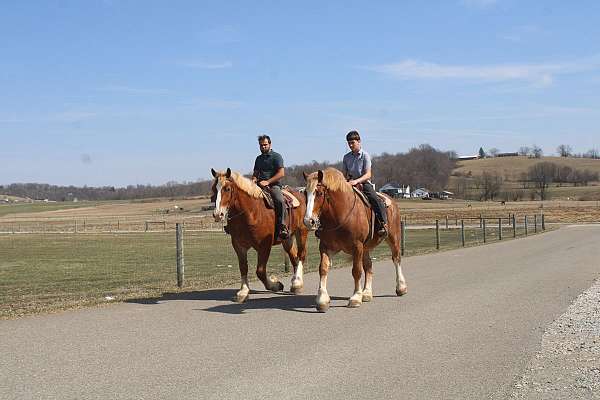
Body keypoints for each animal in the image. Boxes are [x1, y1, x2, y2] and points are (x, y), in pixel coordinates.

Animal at [211, 169, 310, 304]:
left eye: (227, 189)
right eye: (214, 189)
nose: (217, 214)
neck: (251, 212)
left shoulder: (264, 246)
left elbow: (260, 271)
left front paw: (275, 284)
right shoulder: (239, 245)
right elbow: (243, 267)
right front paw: (243, 292)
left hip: (301, 232)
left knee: (301, 255)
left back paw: (297, 283)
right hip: (287, 238)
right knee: (294, 257)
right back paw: (296, 283)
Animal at [304, 167, 408, 310]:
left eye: (319, 193)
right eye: (304, 193)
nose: (309, 221)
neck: (339, 215)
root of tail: (390, 200)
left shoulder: (357, 246)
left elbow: (356, 271)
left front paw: (355, 297)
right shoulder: (325, 246)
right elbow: (323, 269)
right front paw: (322, 299)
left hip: (394, 238)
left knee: (396, 259)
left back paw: (401, 287)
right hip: (366, 248)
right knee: (369, 266)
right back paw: (367, 293)